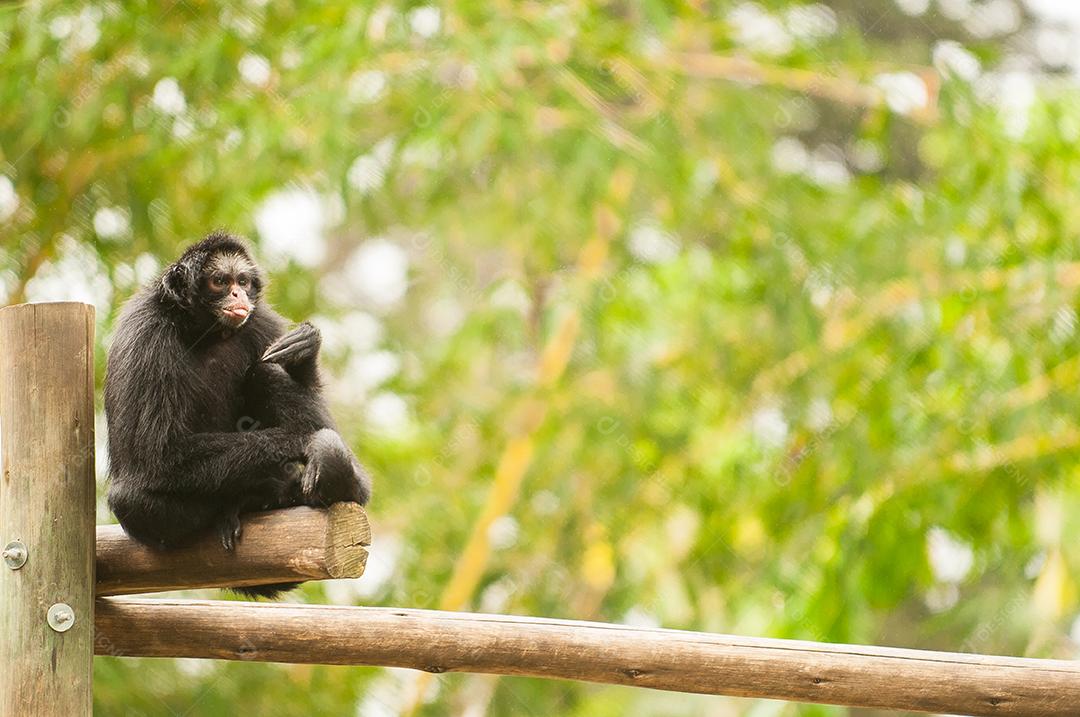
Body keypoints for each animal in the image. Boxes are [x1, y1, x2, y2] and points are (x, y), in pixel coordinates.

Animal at [105, 232, 373, 596]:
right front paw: (307, 441)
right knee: (128, 497)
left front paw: (305, 352)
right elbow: (158, 455)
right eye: (220, 281)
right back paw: (256, 495)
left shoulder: (260, 322)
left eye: (242, 282)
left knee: (264, 371)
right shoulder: (146, 333)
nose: (238, 294)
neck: (204, 333)